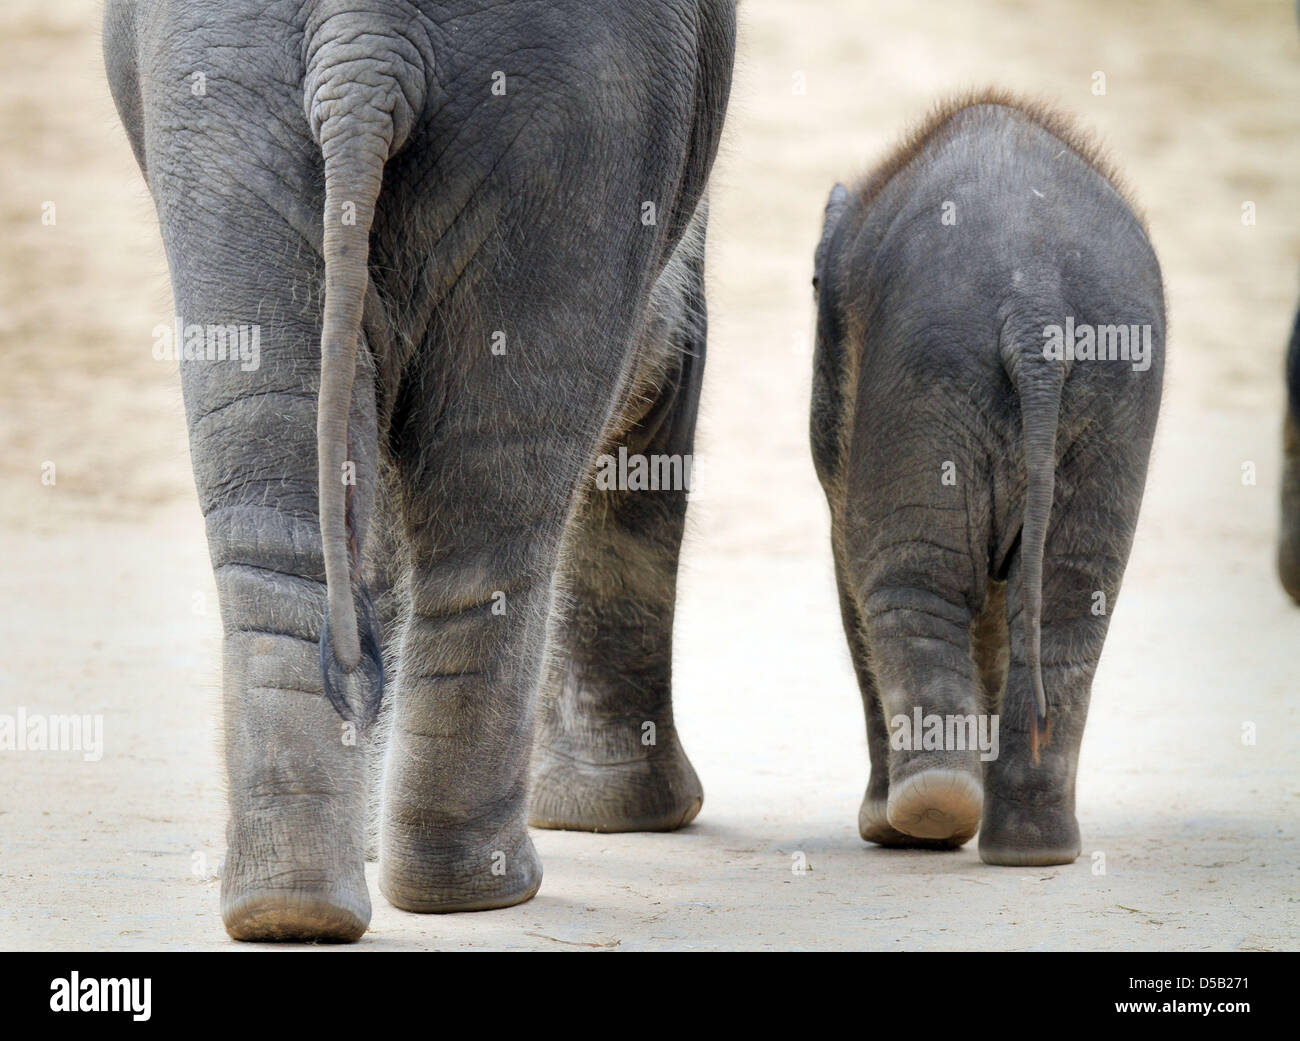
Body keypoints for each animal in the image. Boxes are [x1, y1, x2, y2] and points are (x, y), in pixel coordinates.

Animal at [104, 0, 733, 940]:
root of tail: (363, 40)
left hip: (227, 111)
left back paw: (298, 905)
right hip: (582, 114)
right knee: (497, 498)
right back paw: (469, 886)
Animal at [811, 93, 1170, 862]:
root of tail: (1035, 309)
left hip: (925, 377)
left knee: (910, 582)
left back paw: (924, 814)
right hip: (1107, 397)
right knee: (1070, 602)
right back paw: (1029, 845)